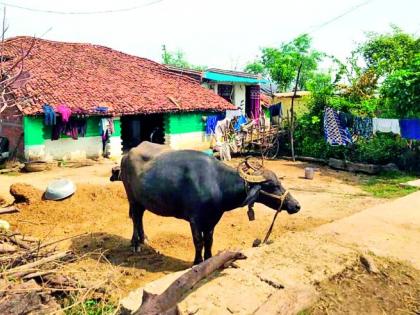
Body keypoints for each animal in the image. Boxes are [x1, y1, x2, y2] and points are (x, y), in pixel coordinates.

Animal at [110, 142, 300, 266]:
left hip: (142, 200)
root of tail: (127, 155)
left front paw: (208, 260)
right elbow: (198, 241)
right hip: (132, 198)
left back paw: (143, 239)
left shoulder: (213, 219)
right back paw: (136, 244)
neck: (217, 184)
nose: (296, 205)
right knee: (135, 218)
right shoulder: (194, 220)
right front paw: (197, 262)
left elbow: (209, 240)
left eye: (279, 182)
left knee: (140, 217)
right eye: (271, 185)